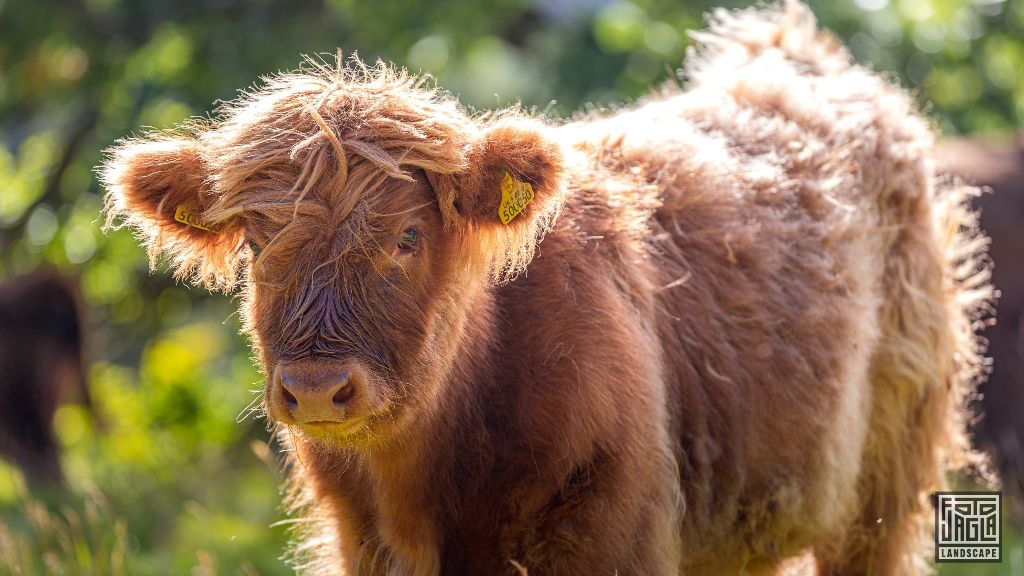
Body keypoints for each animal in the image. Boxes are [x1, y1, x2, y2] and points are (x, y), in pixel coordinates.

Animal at [99, 4, 987, 573]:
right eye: (257, 243)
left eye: (408, 238)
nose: (318, 387)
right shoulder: (363, 544)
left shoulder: (609, 532)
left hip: (882, 494)